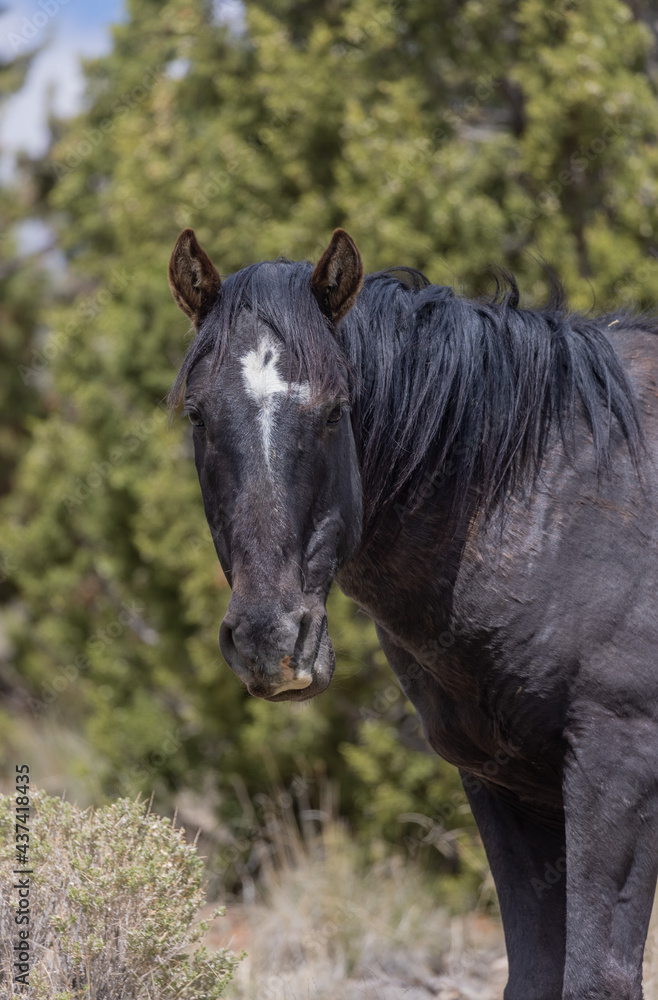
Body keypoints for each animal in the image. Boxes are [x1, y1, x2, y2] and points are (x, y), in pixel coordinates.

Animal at [168, 226, 658, 1000]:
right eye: (198, 415)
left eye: (335, 411)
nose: (270, 640)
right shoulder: (505, 783)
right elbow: (533, 974)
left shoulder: (621, 770)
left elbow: (594, 979)